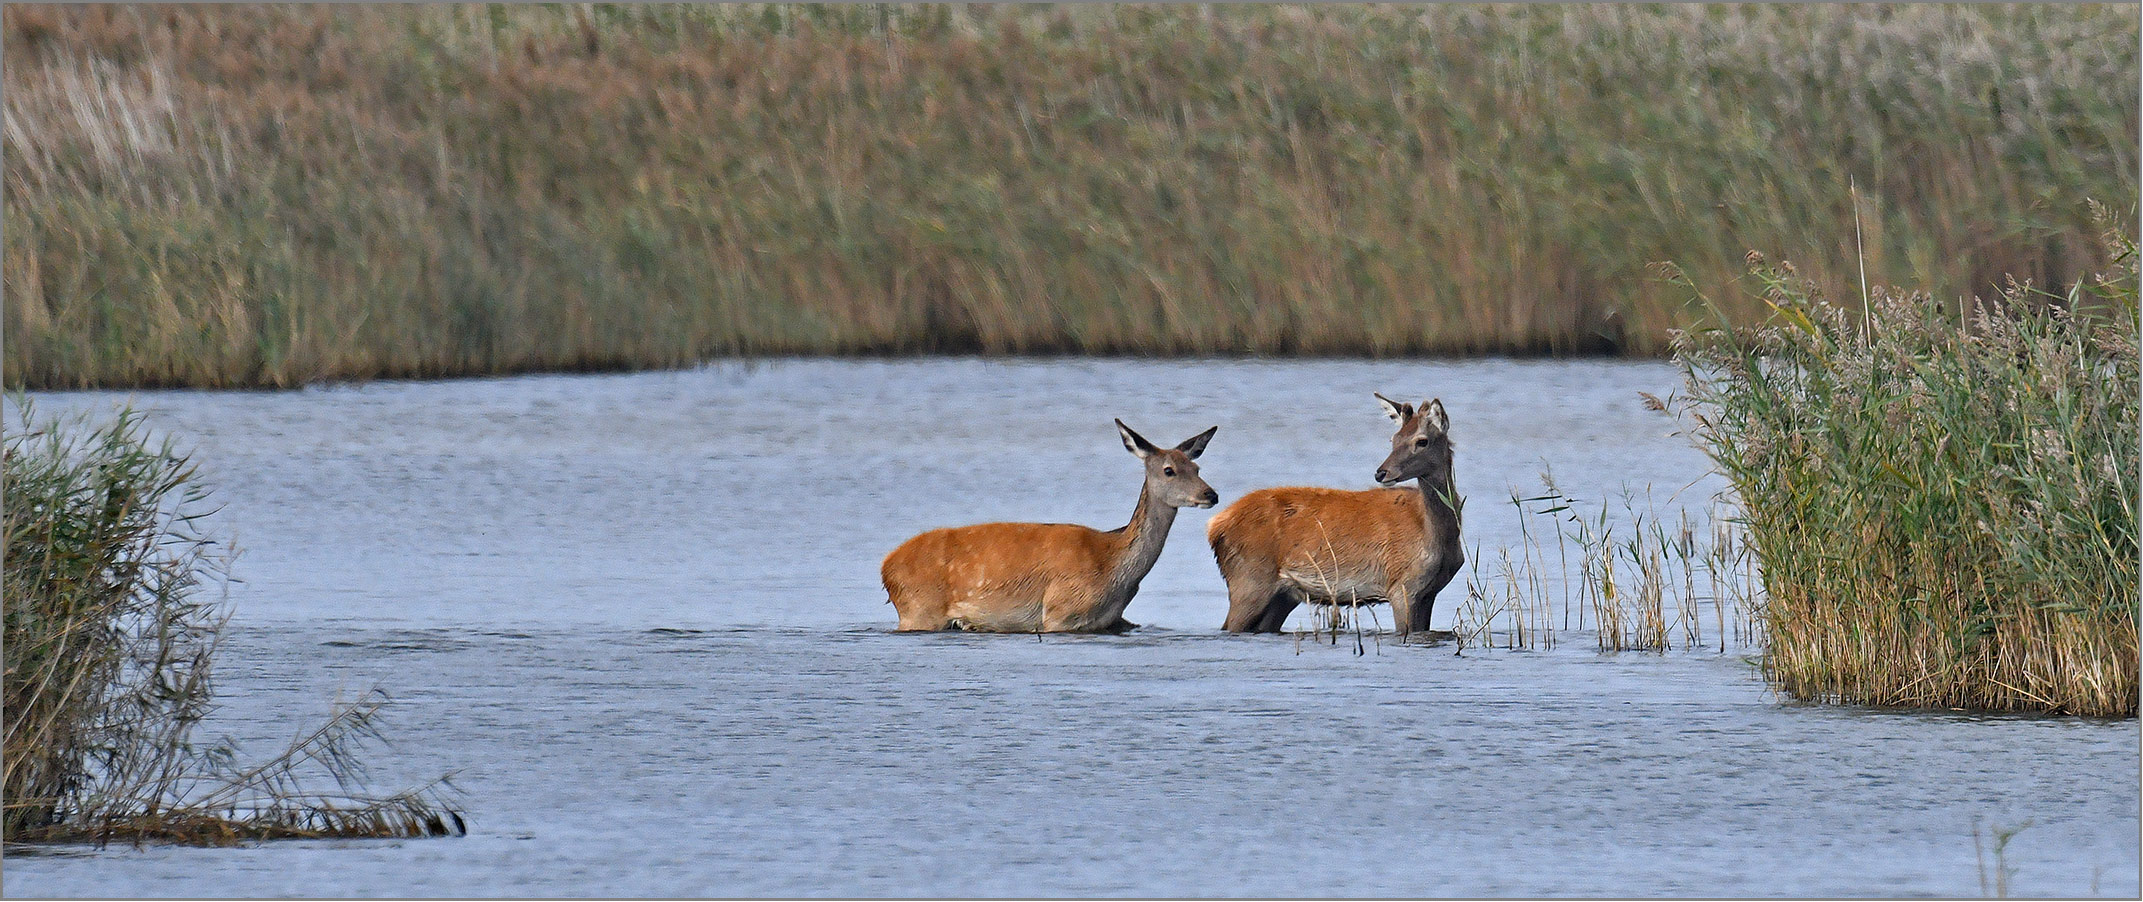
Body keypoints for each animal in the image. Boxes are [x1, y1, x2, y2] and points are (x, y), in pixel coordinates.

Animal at [882, 419, 1225, 634]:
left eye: (1196, 466)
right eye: (1169, 470)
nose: (1211, 494)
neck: (1113, 567)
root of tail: (886, 567)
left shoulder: (1114, 620)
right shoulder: (1060, 612)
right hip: (918, 609)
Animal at [1208, 396, 1457, 638]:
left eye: (1422, 441)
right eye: (1393, 439)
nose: (1381, 472)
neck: (1435, 537)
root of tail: (1215, 525)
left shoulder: (1428, 593)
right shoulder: (1401, 586)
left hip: (1282, 596)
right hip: (1248, 581)